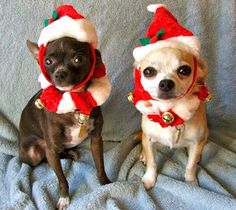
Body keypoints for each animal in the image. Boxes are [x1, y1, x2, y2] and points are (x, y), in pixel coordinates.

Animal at [17, 5, 111, 210]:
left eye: (78, 59)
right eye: (48, 62)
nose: (60, 74)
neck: (74, 104)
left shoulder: (96, 140)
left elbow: (100, 165)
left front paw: (106, 183)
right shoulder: (51, 148)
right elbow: (61, 179)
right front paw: (64, 197)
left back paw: (71, 152)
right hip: (32, 153)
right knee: (44, 159)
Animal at [131, 4, 210, 189]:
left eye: (184, 70)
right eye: (148, 72)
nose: (166, 83)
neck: (170, 113)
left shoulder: (197, 141)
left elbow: (190, 165)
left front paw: (191, 182)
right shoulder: (149, 139)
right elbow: (152, 162)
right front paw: (149, 178)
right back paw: (143, 155)